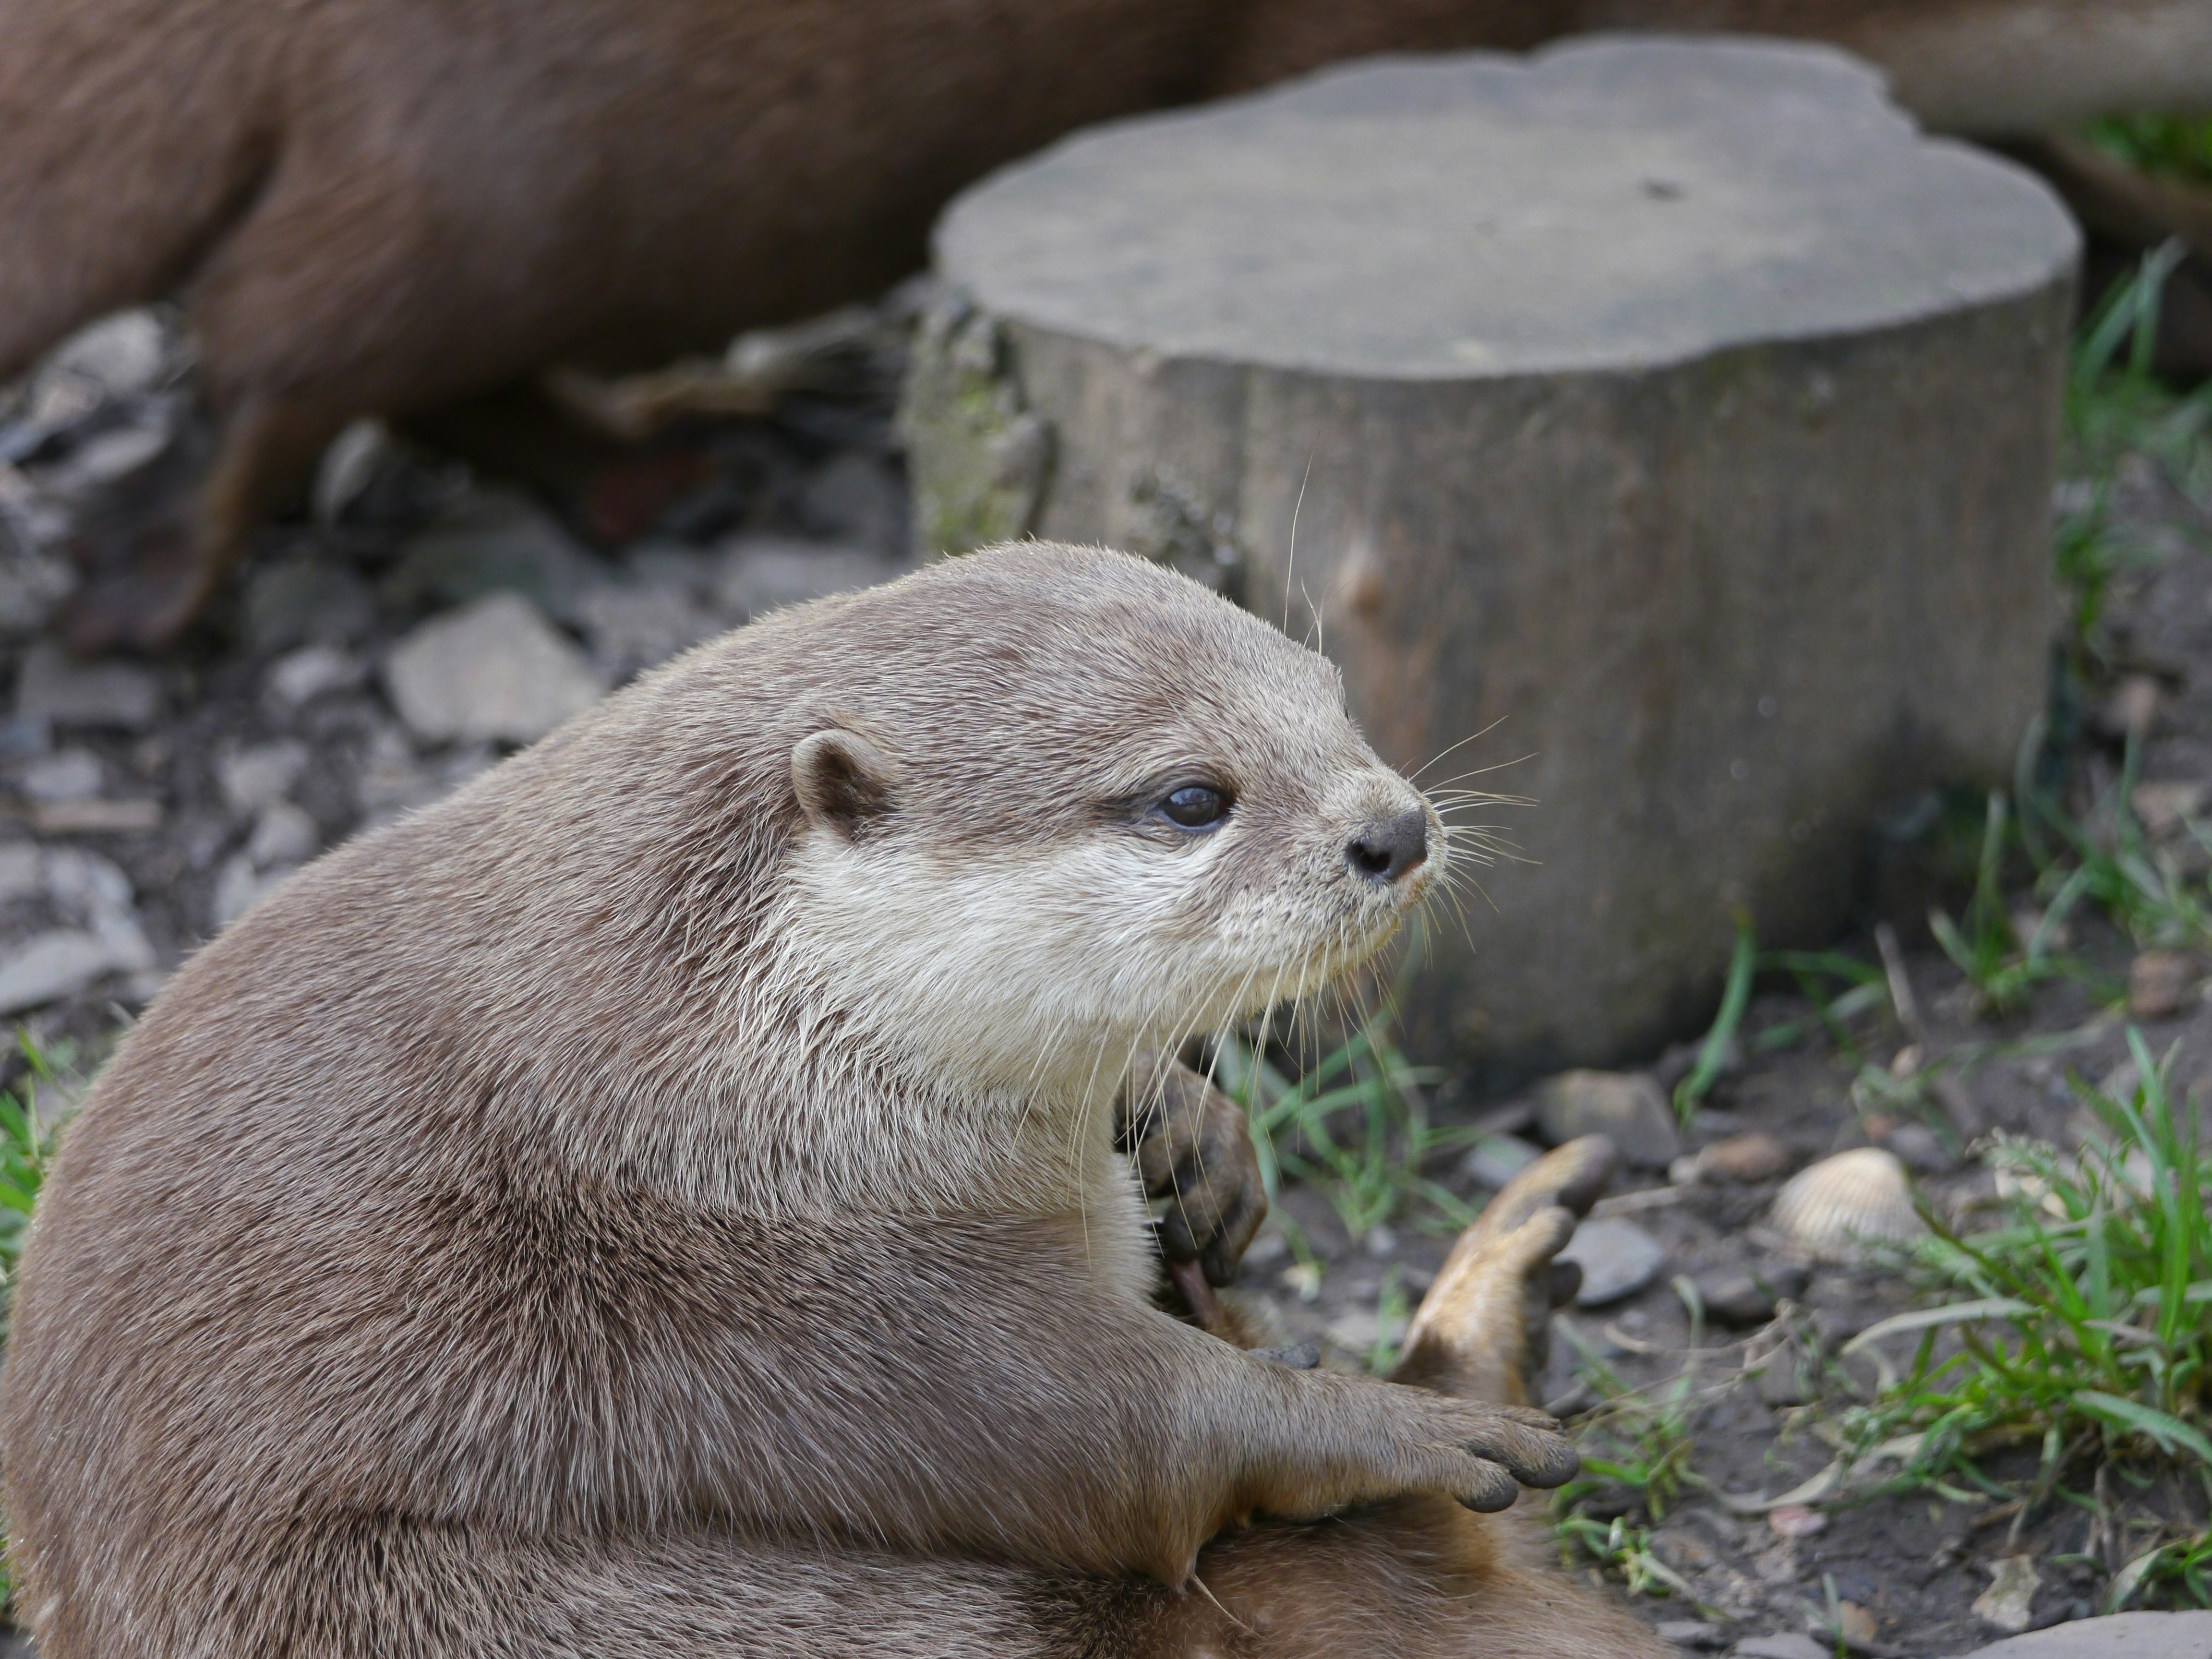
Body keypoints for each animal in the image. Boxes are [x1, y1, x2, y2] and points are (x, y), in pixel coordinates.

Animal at [0, 541, 1671, 1658]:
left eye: (1331, 697)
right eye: (1192, 797)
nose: (1395, 827)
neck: (717, 1070)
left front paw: (1189, 1134)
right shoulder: (776, 1282)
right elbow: (1123, 1445)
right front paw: (1386, 1426)